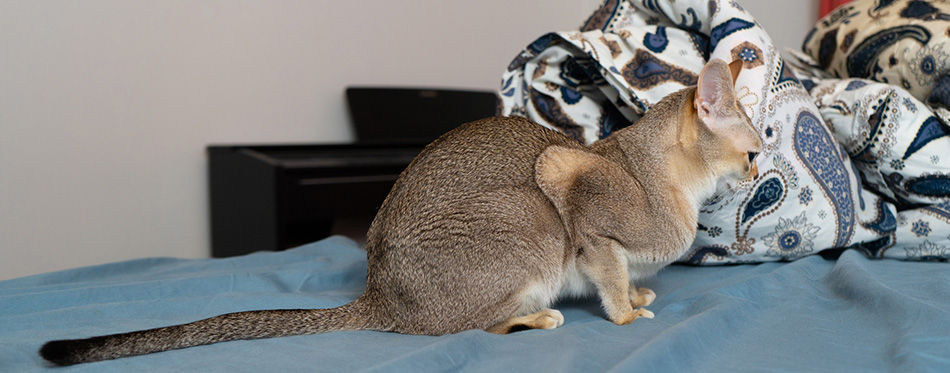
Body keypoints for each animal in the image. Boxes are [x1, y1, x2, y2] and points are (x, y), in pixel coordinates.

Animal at [39, 58, 768, 364]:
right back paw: (536, 317)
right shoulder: (566, 176)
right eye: (755, 151)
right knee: (468, 328)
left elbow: (618, 273)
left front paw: (637, 295)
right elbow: (608, 270)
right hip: (529, 226)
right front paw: (624, 311)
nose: (764, 171)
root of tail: (380, 296)